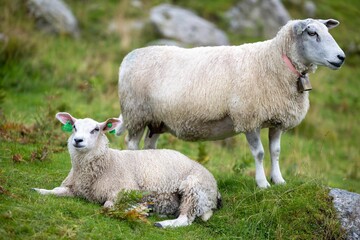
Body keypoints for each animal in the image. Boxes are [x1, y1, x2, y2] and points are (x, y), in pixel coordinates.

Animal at [32, 112, 221, 229]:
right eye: (74, 127)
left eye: (96, 129)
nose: (77, 140)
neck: (108, 162)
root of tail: (215, 191)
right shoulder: (74, 188)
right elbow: (55, 190)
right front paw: (39, 190)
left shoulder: (124, 190)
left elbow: (108, 207)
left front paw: (139, 209)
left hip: (193, 189)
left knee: (186, 219)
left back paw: (162, 223)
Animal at [116, 18, 344, 189]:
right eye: (312, 33)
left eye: (326, 31)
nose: (341, 57)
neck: (274, 62)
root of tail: (129, 57)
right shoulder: (249, 117)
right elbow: (260, 153)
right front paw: (262, 184)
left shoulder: (277, 119)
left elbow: (276, 152)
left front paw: (278, 180)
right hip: (136, 113)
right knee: (132, 144)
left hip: (157, 120)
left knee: (150, 147)